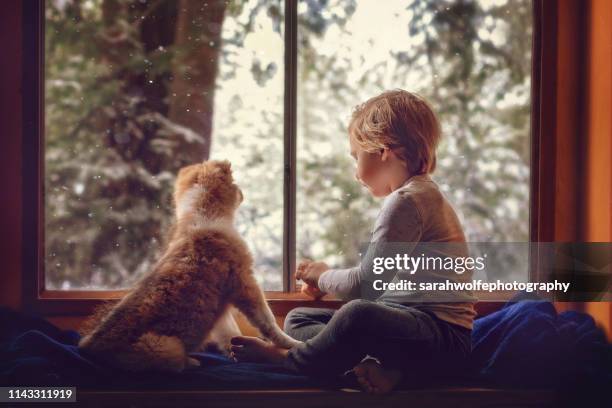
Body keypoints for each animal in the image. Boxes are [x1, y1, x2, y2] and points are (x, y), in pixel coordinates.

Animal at [77, 160, 302, 372]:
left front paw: (235, 351)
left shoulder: (220, 307)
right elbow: (267, 320)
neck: (203, 213)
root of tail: (88, 350)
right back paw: (192, 361)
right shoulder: (244, 281)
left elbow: (229, 331)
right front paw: (291, 344)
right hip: (167, 347)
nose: (242, 193)